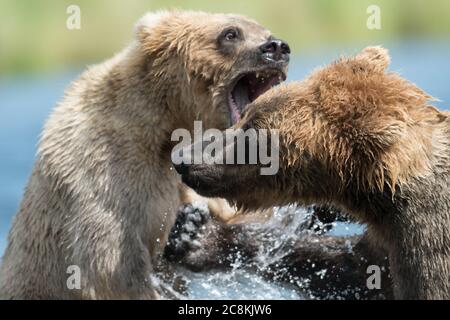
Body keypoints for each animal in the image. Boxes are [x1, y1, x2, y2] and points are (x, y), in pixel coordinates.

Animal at [0, 10, 288, 300]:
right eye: (231, 33)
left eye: (264, 31)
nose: (277, 48)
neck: (164, 123)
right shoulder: (104, 169)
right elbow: (111, 264)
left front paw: (194, 226)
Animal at [175, 47, 450, 300]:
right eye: (245, 115)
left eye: (254, 133)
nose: (184, 158)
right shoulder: (385, 239)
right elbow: (351, 267)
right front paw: (195, 235)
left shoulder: (425, 237)